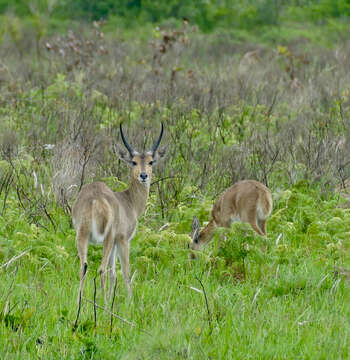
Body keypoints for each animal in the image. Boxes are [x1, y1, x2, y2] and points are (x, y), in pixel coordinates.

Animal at [72, 124, 165, 320]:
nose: (143, 175)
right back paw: (104, 307)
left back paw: (79, 304)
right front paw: (130, 302)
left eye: (151, 161)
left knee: (84, 267)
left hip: (82, 236)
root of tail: (95, 199)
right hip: (107, 238)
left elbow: (114, 273)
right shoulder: (122, 240)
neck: (128, 201)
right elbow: (125, 272)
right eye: (134, 162)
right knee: (101, 269)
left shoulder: (114, 243)